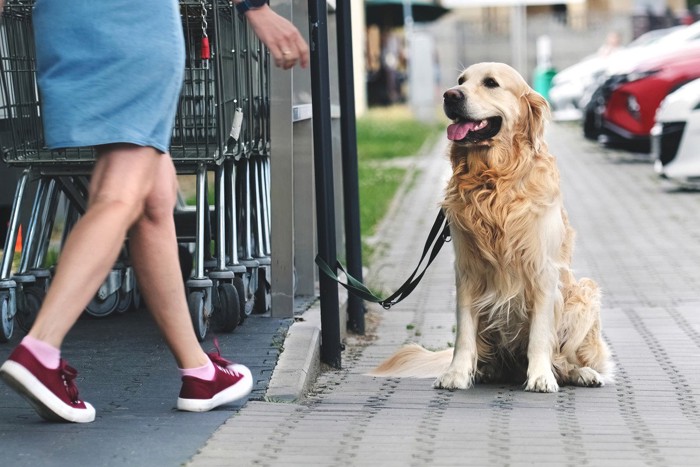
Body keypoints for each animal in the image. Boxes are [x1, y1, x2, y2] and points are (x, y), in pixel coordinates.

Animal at [372, 61, 612, 392]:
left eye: (491, 83)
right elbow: (464, 333)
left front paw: (541, 376)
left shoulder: (542, 271)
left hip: (584, 293)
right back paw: (484, 370)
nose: (450, 95)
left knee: (565, 359)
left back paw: (580, 373)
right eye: (461, 80)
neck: (493, 183)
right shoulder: (466, 270)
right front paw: (456, 373)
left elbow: (541, 336)